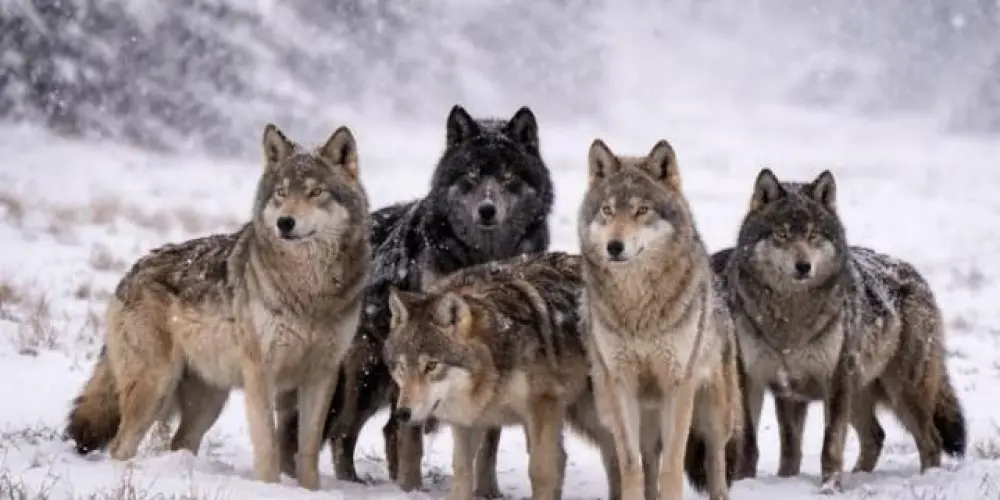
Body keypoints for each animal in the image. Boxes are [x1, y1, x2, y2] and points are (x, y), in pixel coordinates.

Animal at [64, 124, 371, 490]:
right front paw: (269, 489)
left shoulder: (322, 374)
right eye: (281, 193)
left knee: (179, 442)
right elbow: (268, 448)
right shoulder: (260, 374)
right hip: (156, 387)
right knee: (120, 445)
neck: (309, 289)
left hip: (209, 398)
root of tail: (129, 273)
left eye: (316, 192)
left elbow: (308, 451)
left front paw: (309, 491)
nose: (284, 223)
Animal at [278, 104, 554, 493]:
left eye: (508, 175)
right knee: (337, 430)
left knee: (379, 428)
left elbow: (490, 439)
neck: (483, 256)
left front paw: (488, 492)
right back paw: (344, 481)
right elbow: (411, 436)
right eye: (472, 174)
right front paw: (410, 489)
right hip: (364, 378)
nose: (487, 209)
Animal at [385, 251, 619, 500]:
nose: (402, 413)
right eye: (401, 366)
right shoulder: (468, 421)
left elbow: (542, 470)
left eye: (431, 366)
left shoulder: (543, 408)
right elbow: (462, 474)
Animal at [578, 138, 743, 500]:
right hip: (614, 408)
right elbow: (632, 466)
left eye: (642, 210)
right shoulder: (621, 384)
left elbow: (673, 465)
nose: (614, 246)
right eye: (607, 210)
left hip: (714, 411)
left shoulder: (677, 383)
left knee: (715, 459)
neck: (638, 307)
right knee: (649, 457)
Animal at [711, 168, 966, 491]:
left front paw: (830, 488)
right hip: (860, 393)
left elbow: (830, 444)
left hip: (901, 392)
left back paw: (925, 481)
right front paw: (753, 483)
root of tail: (917, 277)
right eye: (782, 234)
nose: (803, 266)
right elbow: (768, 447)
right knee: (876, 436)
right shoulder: (763, 383)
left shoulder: (834, 381)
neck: (789, 321)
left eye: (813, 235)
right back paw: (861, 476)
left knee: (929, 440)